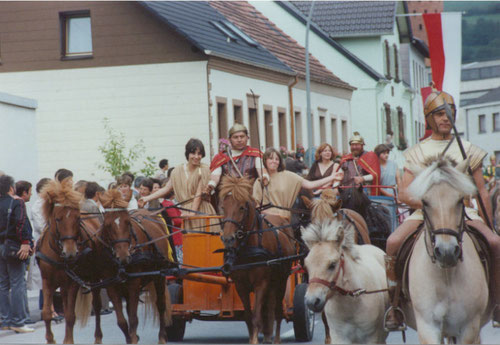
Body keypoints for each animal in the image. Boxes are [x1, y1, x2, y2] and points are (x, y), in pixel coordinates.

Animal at [36, 179, 91, 342]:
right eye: (58, 219)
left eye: (78, 218)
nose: (71, 252)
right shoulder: (47, 281)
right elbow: (46, 313)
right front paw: (50, 339)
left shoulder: (72, 283)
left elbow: (70, 315)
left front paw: (68, 340)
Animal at [96, 189, 173, 342]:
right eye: (107, 225)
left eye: (127, 222)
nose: (123, 256)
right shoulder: (112, 286)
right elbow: (122, 321)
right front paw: (131, 337)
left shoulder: (134, 284)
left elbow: (133, 319)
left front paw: (133, 338)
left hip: (159, 276)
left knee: (161, 305)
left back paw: (162, 336)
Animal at [220, 176, 296, 342]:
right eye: (223, 207)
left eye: (242, 207)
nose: (228, 238)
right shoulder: (240, 285)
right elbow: (249, 317)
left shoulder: (261, 284)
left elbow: (256, 316)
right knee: (270, 309)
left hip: (281, 281)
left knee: (277, 312)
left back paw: (276, 340)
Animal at [406, 157, 492, 342]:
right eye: (425, 202)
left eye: (460, 200)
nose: (446, 253)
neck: (445, 277)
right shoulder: (427, 326)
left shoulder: (469, 328)